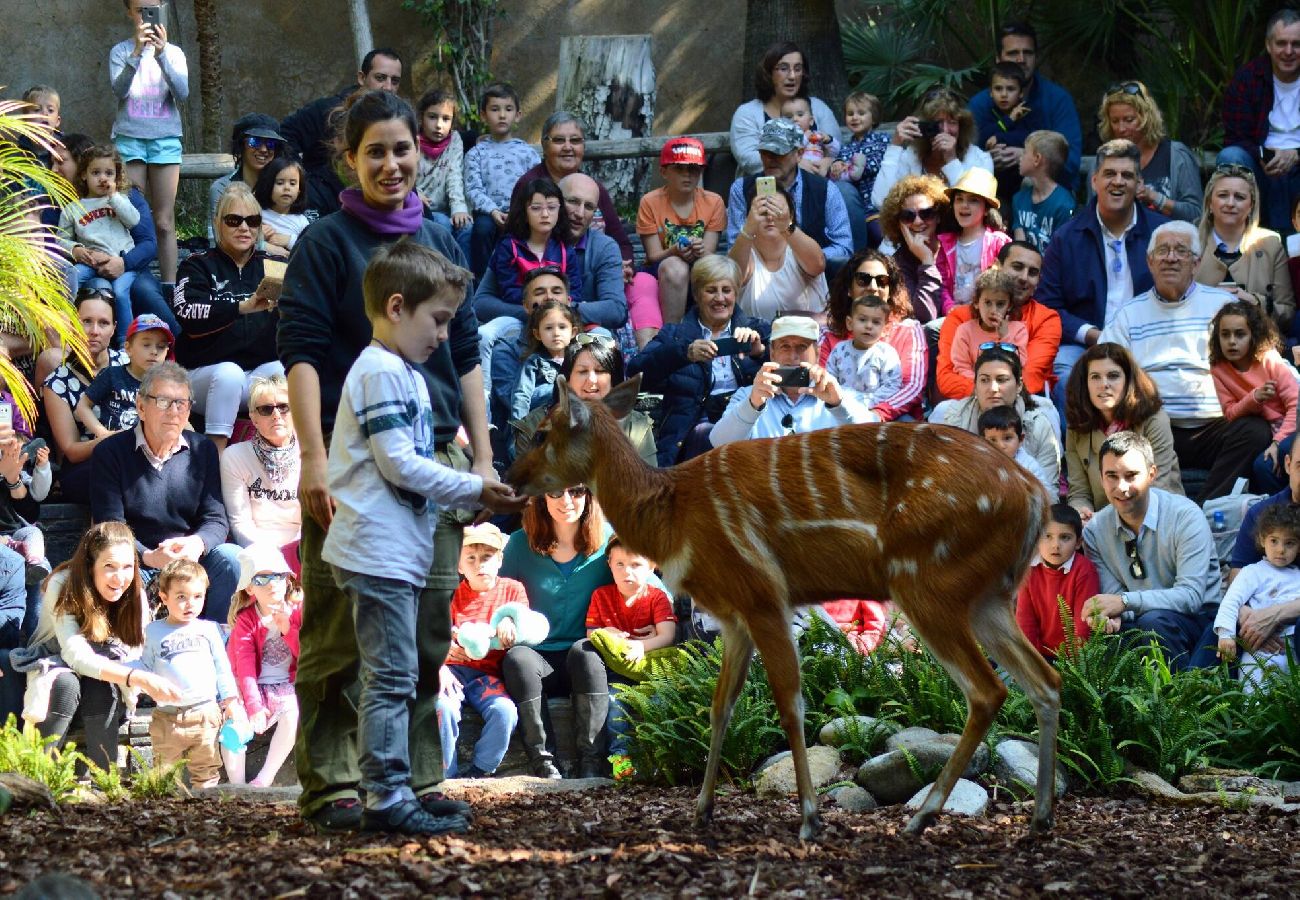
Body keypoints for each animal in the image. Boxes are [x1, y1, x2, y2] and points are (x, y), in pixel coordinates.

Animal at [501, 371, 1060, 837]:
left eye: (540, 433)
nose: (510, 477)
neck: (670, 516)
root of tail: (1035, 495)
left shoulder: (762, 594)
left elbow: (790, 704)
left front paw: (810, 818)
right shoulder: (733, 616)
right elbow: (720, 706)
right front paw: (702, 809)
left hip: (926, 581)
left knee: (987, 689)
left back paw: (921, 817)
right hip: (988, 596)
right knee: (1045, 681)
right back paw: (1038, 819)